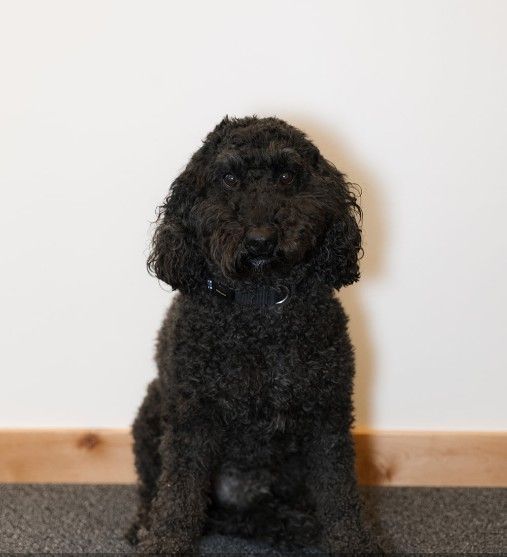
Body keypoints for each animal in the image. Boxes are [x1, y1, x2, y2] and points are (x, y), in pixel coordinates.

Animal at [127, 116, 380, 552]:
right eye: (228, 179)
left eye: (286, 175)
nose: (261, 238)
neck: (259, 307)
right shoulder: (192, 417)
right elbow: (178, 496)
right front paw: (164, 542)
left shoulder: (327, 415)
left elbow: (339, 494)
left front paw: (353, 542)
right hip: (151, 413)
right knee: (158, 492)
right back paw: (144, 523)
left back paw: (289, 524)